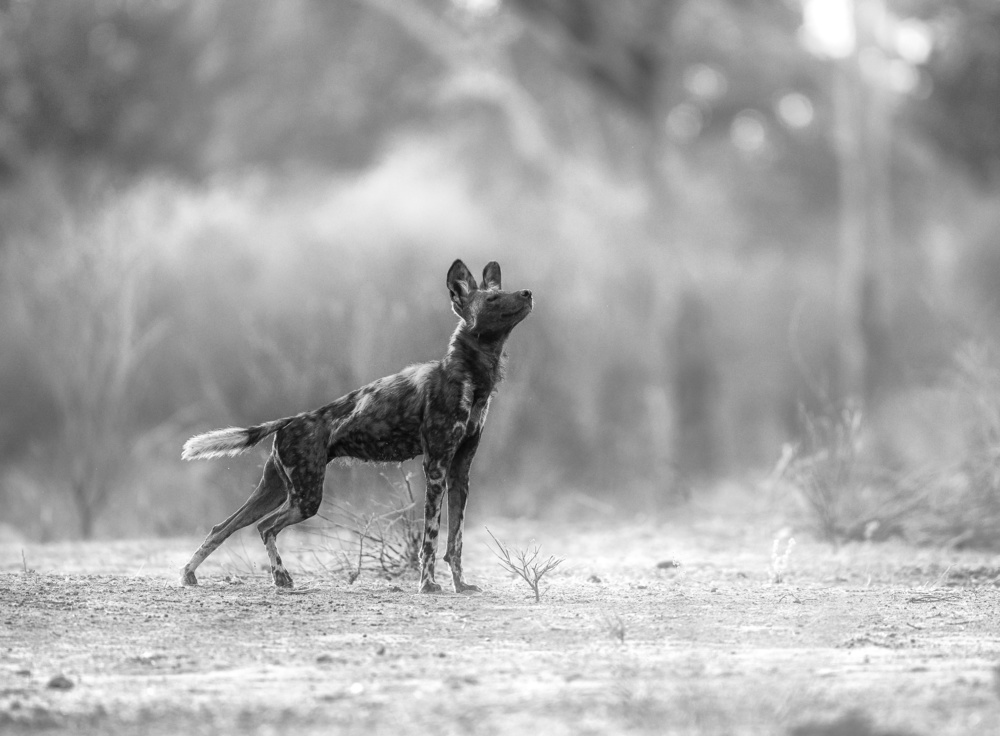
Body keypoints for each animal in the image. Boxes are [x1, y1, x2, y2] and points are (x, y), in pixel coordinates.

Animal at [180, 258, 532, 592]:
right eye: (493, 298)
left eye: (503, 291)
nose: (528, 293)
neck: (471, 377)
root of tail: (291, 420)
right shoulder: (436, 469)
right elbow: (431, 539)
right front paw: (428, 585)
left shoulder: (459, 473)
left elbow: (454, 541)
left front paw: (461, 586)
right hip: (306, 499)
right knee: (264, 527)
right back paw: (280, 576)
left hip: (276, 491)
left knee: (223, 527)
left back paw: (190, 574)